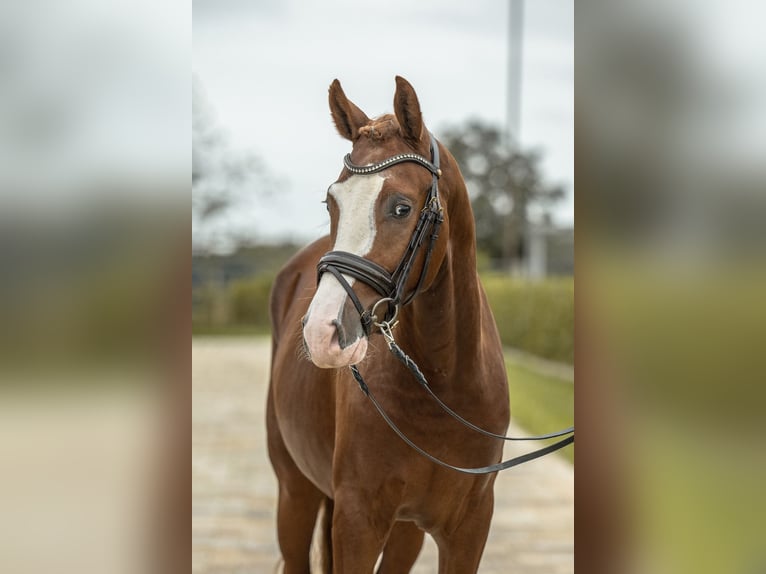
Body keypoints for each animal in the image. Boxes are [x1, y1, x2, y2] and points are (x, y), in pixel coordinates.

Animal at [268, 77, 512, 574]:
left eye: (401, 208)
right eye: (331, 202)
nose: (321, 333)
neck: (443, 384)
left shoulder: (469, 528)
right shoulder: (357, 521)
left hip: (404, 531)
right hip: (295, 491)